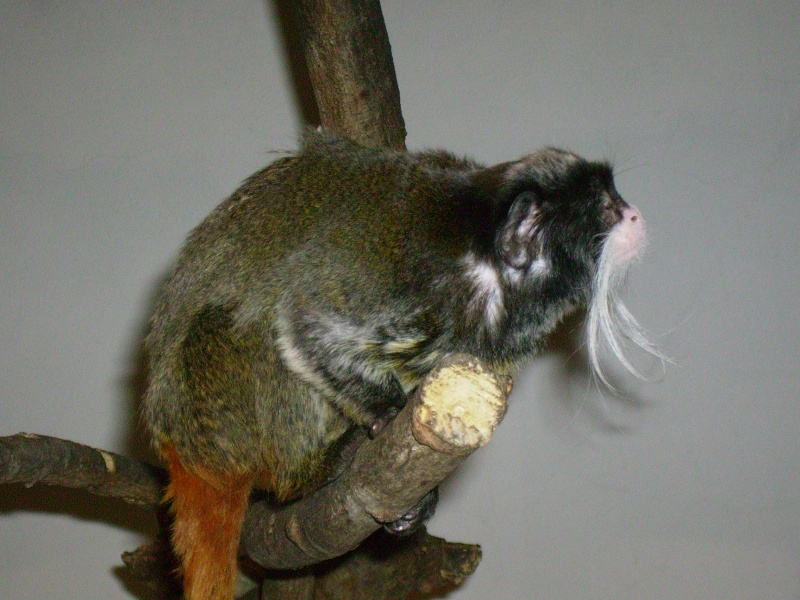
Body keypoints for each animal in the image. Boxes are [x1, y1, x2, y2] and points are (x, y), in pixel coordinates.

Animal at [142, 129, 664, 596]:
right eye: (605, 208)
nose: (636, 214)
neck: (486, 266)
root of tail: (177, 442)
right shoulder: (404, 272)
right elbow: (302, 322)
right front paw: (387, 416)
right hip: (216, 410)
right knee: (248, 324)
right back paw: (308, 474)